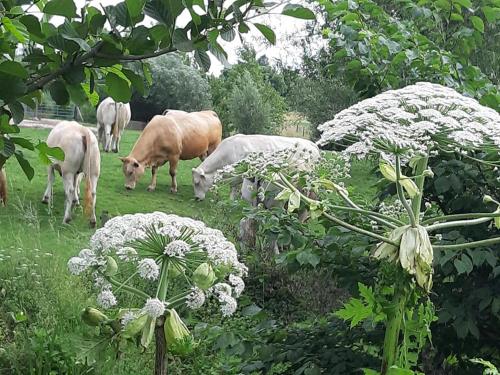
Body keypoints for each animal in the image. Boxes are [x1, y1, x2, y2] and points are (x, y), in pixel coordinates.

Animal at [191, 134, 320, 201]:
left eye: (197, 183)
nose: (196, 198)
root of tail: (311, 144)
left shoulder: (237, 176)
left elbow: (233, 188)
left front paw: (231, 201)